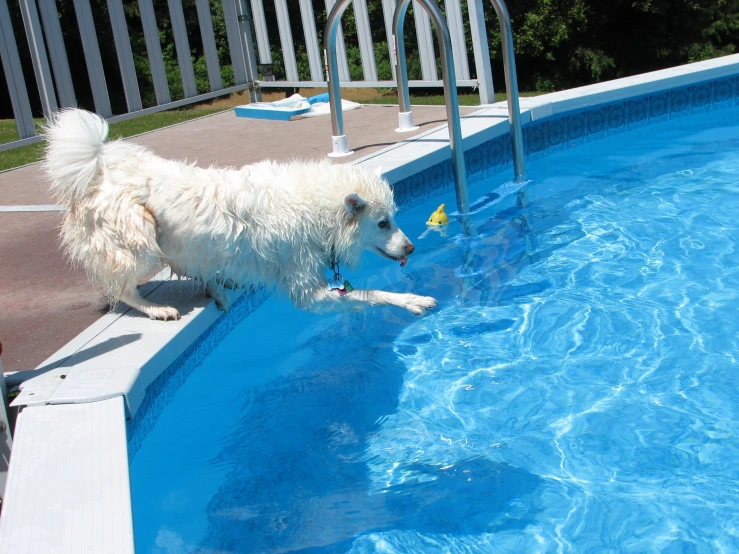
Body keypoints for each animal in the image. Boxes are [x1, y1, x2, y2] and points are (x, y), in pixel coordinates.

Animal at [43, 108, 436, 320]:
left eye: (393, 219)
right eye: (383, 223)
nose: (412, 249)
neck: (318, 210)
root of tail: (97, 170)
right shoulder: (308, 292)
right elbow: (369, 294)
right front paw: (411, 301)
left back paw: (218, 286)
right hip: (141, 239)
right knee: (121, 289)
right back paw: (156, 308)